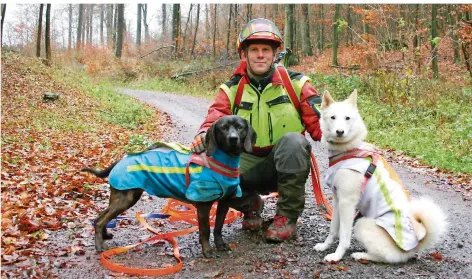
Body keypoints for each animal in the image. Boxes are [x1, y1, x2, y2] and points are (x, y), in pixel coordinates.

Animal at [83, 115, 256, 258]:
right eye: (223, 128)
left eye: (240, 127)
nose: (233, 139)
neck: (223, 161)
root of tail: (121, 159)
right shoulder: (203, 206)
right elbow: (205, 230)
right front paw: (207, 251)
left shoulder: (224, 203)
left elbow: (218, 227)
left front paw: (220, 245)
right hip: (124, 199)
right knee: (100, 220)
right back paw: (99, 246)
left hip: (124, 199)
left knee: (99, 217)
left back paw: (104, 236)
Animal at [314, 91, 446, 264]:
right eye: (333, 117)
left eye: (347, 118)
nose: (340, 132)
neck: (348, 150)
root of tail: (415, 245)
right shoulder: (338, 200)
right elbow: (333, 229)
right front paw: (325, 246)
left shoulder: (347, 203)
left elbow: (344, 236)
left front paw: (337, 256)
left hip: (361, 224)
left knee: (385, 257)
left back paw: (361, 255)